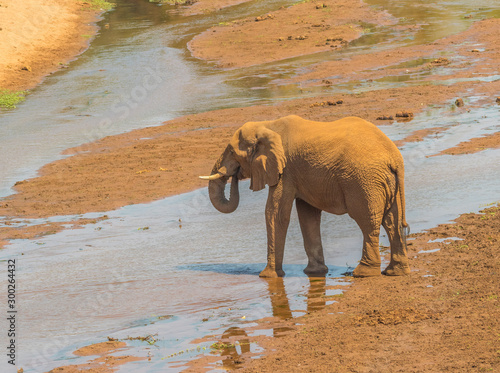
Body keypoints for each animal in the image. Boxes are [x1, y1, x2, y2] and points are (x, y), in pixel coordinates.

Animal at [199, 115, 410, 278]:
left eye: (232, 151)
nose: (234, 175)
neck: (268, 124)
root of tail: (394, 158)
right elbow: (307, 215)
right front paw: (314, 272)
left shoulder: (285, 170)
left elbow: (276, 214)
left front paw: (267, 276)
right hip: (384, 181)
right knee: (392, 221)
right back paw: (395, 272)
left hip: (363, 181)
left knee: (368, 221)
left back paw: (363, 273)